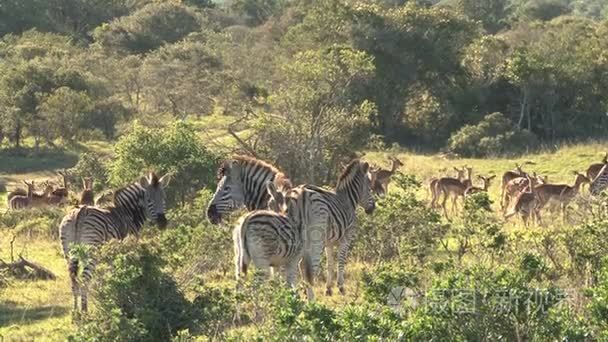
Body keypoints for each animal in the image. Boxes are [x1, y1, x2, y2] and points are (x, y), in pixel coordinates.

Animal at [58, 172, 171, 314]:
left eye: (164, 198)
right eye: (149, 200)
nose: (163, 223)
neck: (127, 212)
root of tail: (81, 212)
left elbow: (110, 272)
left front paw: (111, 291)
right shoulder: (130, 245)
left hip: (68, 251)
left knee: (73, 280)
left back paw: (75, 312)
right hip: (92, 250)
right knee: (84, 279)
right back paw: (84, 311)